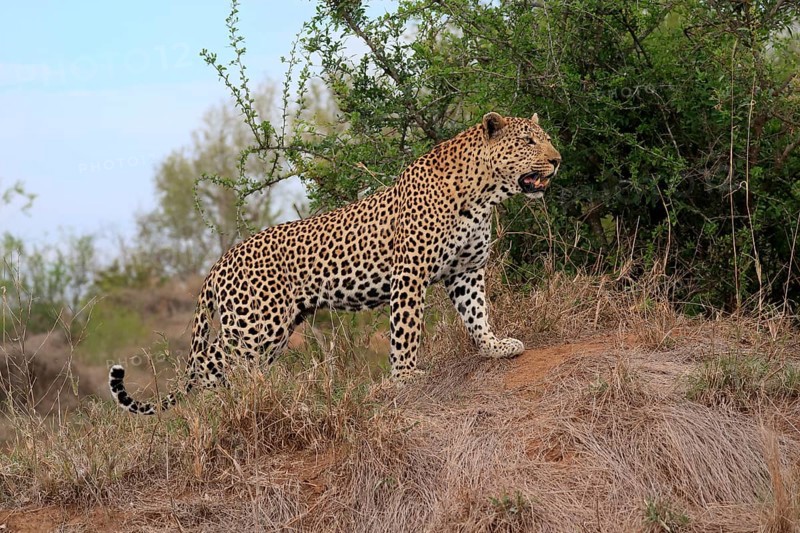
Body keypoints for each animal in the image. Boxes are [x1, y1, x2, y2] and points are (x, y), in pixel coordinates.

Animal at [109, 112, 562, 414]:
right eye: (527, 142)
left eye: (545, 138)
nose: (557, 159)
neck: (484, 195)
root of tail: (219, 263)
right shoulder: (410, 274)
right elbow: (407, 330)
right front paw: (405, 376)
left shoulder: (465, 271)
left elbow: (477, 313)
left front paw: (493, 347)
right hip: (257, 324)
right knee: (208, 362)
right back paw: (220, 403)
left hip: (274, 329)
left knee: (233, 366)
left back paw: (254, 397)